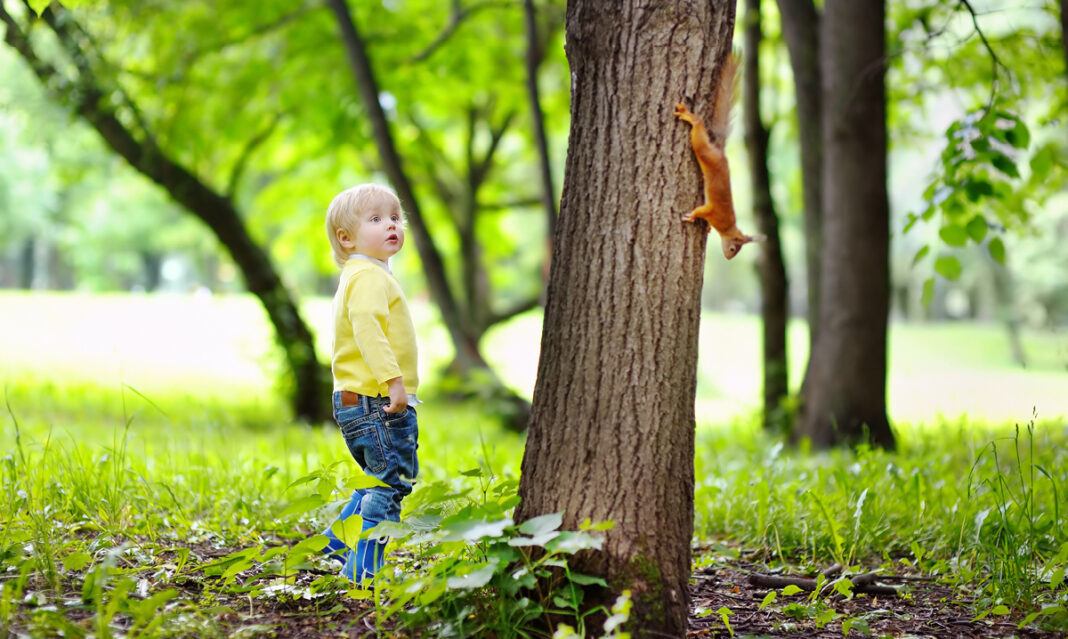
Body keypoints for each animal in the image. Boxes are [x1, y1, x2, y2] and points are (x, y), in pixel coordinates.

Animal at [674, 53, 762, 260]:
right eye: (733, 249)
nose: (728, 258)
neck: (728, 228)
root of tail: (720, 153)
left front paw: (706, 228)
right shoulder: (713, 212)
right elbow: (701, 210)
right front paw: (692, 216)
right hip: (704, 151)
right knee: (698, 128)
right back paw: (690, 117)